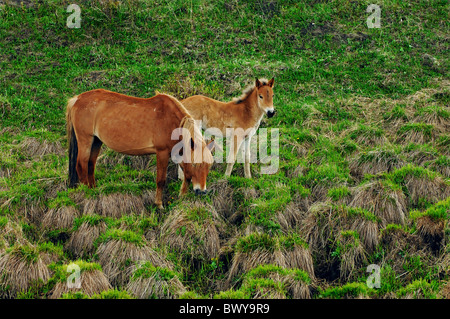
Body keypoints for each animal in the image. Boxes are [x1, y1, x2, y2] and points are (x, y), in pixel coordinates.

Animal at [66, 89, 215, 210]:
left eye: (209, 166)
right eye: (196, 164)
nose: (202, 191)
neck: (171, 121)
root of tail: (77, 99)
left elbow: (187, 176)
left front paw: (182, 196)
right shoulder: (162, 153)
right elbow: (161, 180)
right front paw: (158, 204)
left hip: (96, 142)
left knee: (91, 165)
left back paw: (94, 191)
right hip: (85, 140)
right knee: (81, 165)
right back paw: (87, 193)